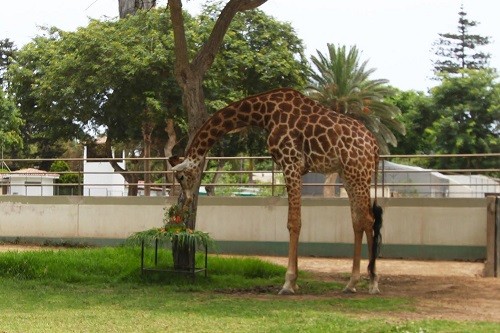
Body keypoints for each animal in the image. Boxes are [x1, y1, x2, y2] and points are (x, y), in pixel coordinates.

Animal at [170, 87, 384, 294]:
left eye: (180, 177)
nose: (187, 200)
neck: (264, 113)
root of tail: (375, 147)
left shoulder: (290, 163)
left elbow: (293, 222)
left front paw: (288, 283)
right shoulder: (295, 167)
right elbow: (297, 221)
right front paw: (295, 283)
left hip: (357, 172)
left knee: (368, 219)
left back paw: (373, 282)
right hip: (349, 174)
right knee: (359, 220)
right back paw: (351, 283)